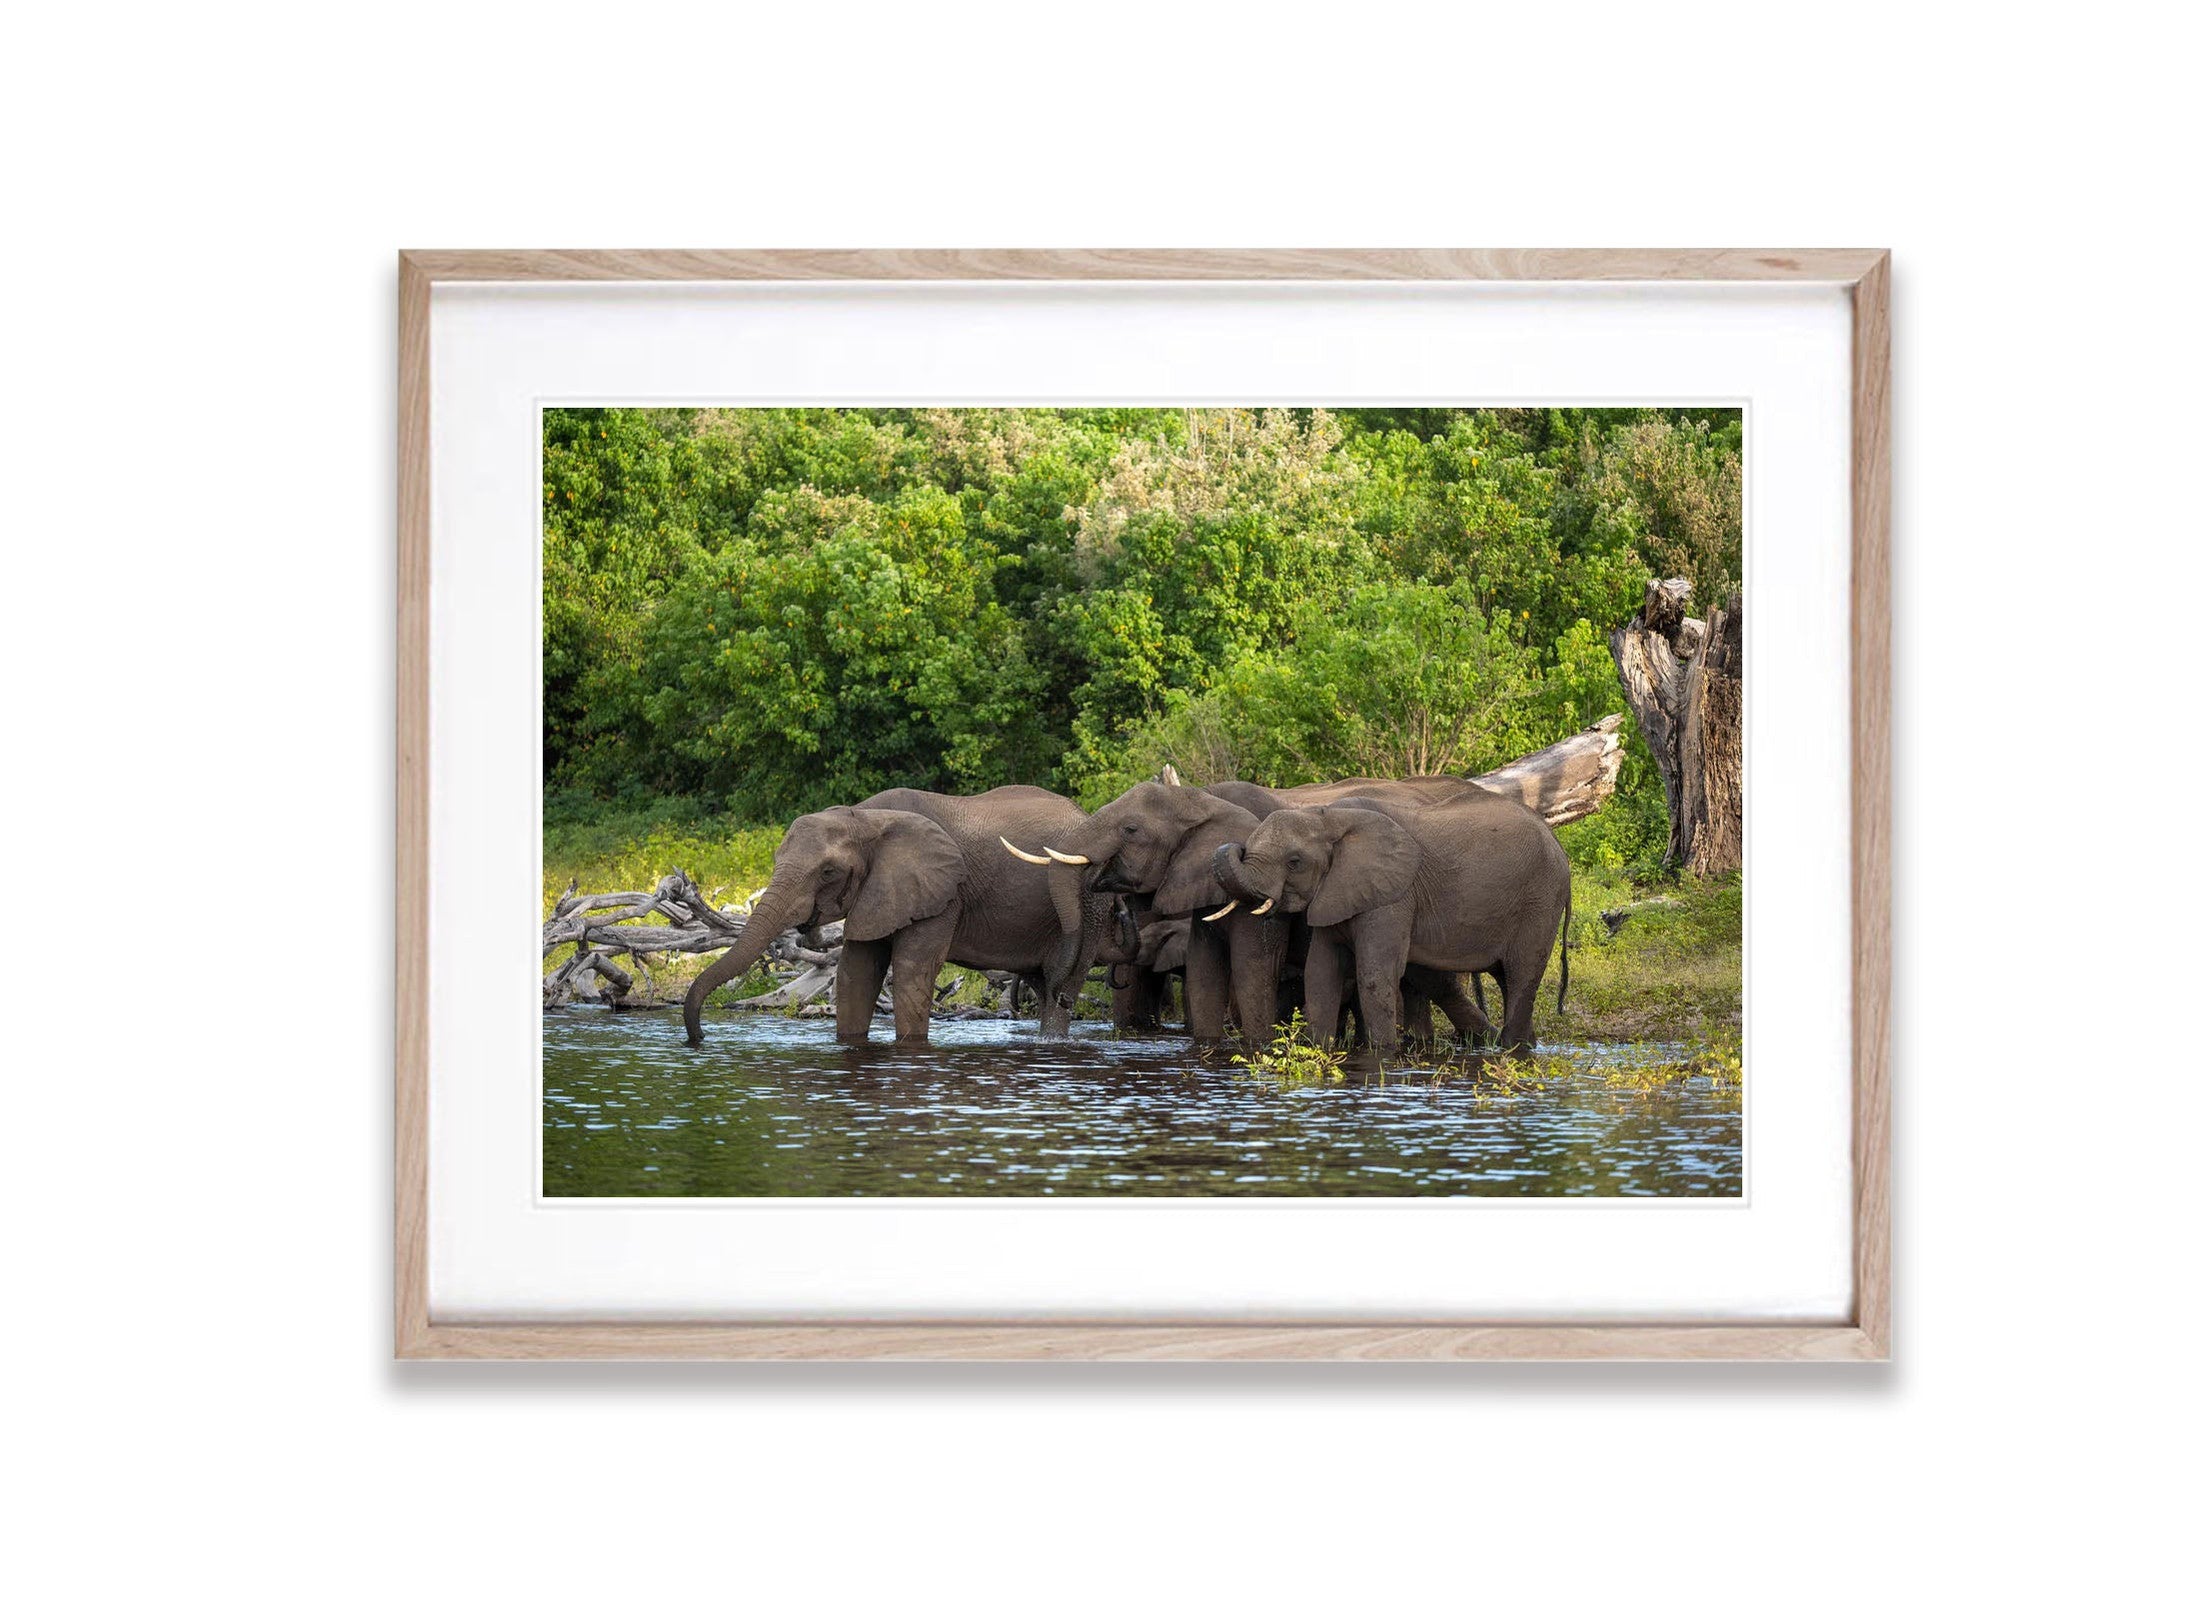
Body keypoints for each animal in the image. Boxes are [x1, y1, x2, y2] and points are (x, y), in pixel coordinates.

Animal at [683, 785, 1090, 1046]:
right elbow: (856, 972)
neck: (865, 818)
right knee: (1044, 985)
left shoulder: (943, 892)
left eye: (828, 872)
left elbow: (911, 971)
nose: (701, 1036)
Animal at [1213, 789, 1571, 1055]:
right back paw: (1525, 1046)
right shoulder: (1336, 892)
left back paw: (1513, 1049)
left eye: (1294, 862)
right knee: (1505, 979)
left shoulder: (1395, 895)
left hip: (1540, 900)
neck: (1326, 816)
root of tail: (1558, 846)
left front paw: (1381, 1054)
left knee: (1523, 975)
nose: (1235, 845)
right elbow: (1320, 973)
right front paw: (1319, 1050)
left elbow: (1375, 974)